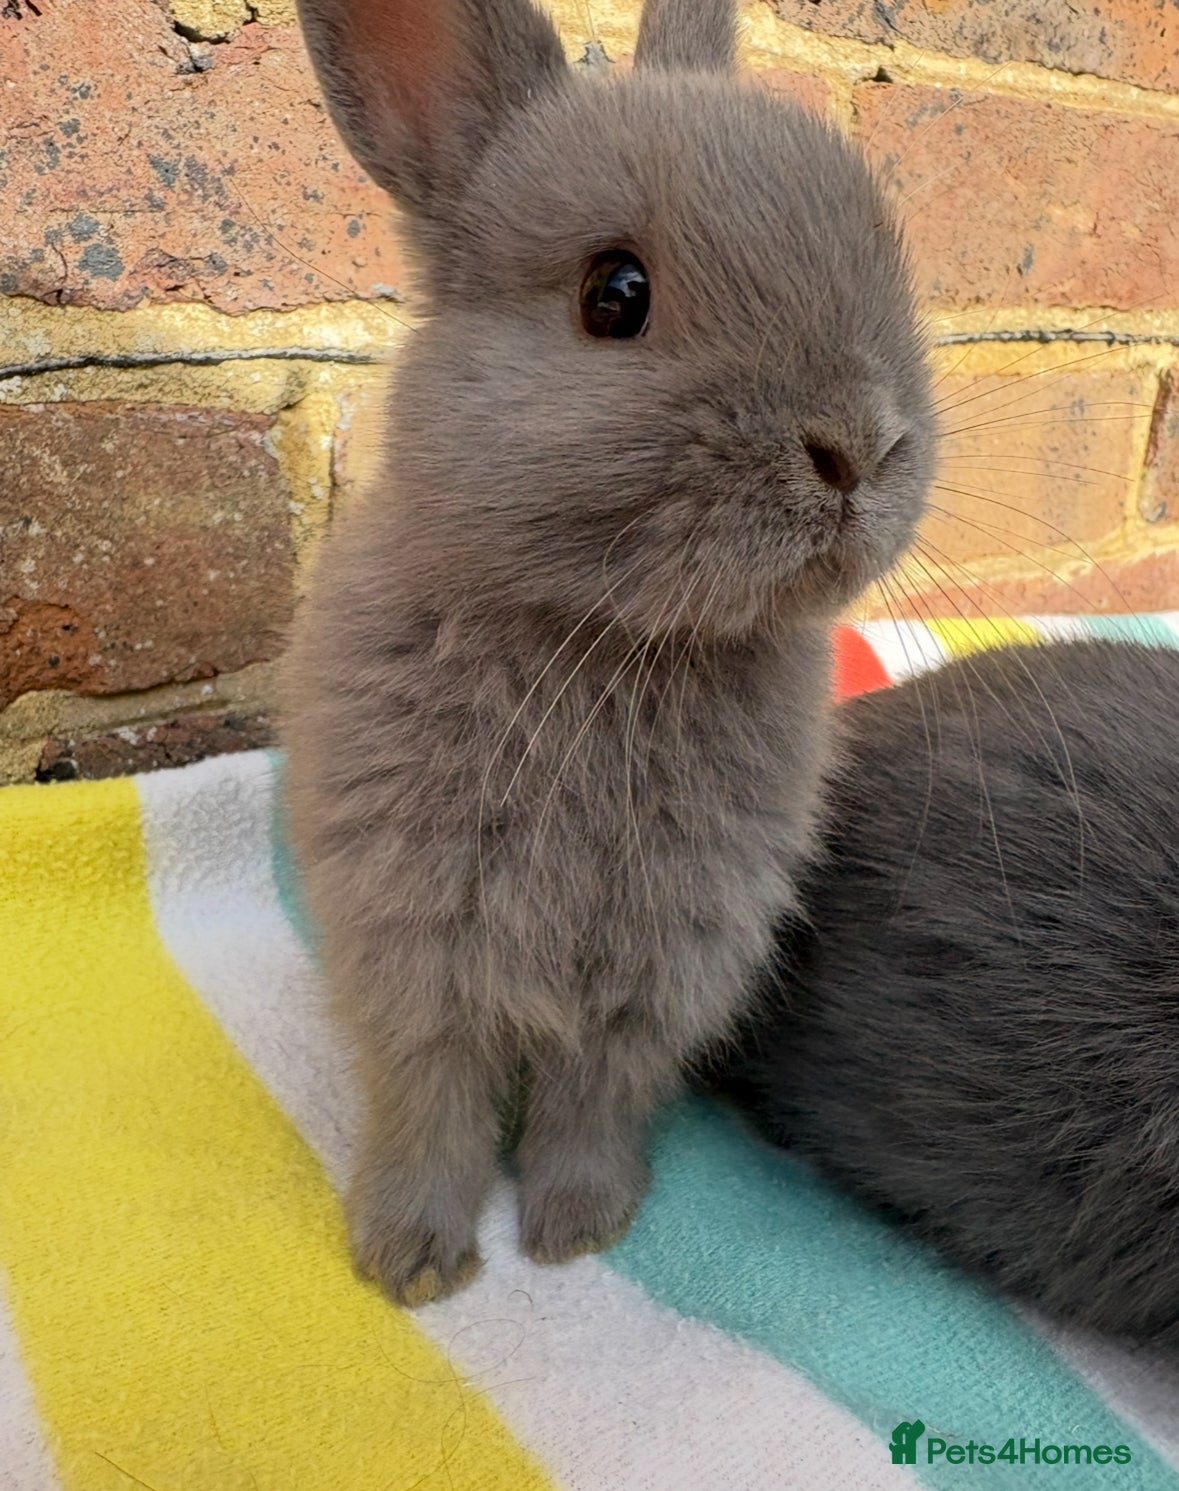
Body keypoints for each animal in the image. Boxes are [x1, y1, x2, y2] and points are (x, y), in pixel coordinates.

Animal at [282, 0, 934, 1307]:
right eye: (614, 294)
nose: (861, 446)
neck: (622, 640)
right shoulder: (419, 945)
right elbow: (431, 1102)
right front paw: (411, 1263)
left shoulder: (662, 963)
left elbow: (594, 1098)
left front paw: (576, 1229)